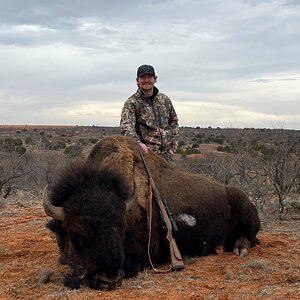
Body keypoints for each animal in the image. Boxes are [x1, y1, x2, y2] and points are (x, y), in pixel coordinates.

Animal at [44, 135, 260, 290]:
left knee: (248, 237)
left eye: (121, 230)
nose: (109, 280)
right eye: (76, 234)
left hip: (246, 214)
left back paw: (239, 249)